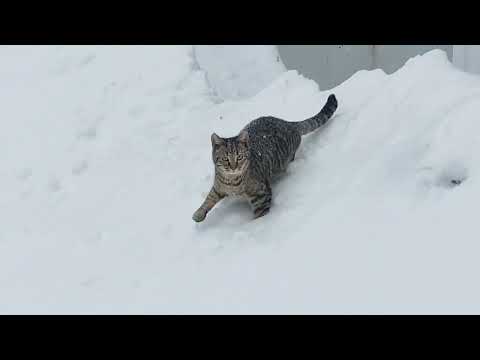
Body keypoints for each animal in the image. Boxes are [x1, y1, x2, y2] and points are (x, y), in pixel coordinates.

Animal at [192, 93, 338, 222]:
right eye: (225, 159)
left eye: (239, 157)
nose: (234, 167)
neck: (232, 182)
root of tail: (288, 123)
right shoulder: (218, 187)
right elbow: (209, 198)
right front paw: (199, 213)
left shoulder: (261, 195)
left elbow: (259, 216)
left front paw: (256, 226)